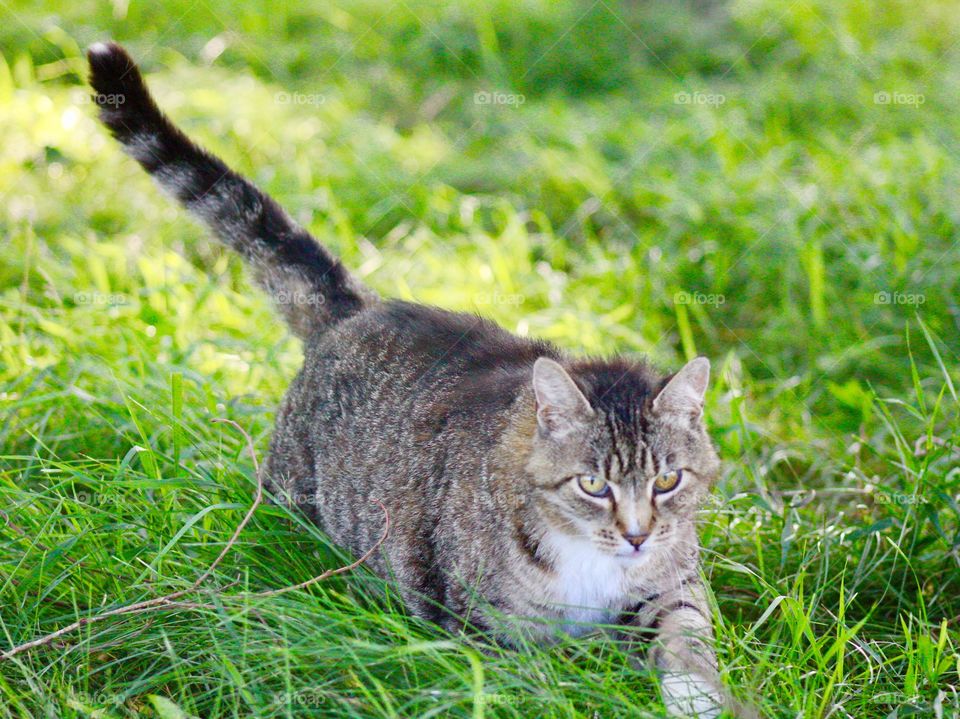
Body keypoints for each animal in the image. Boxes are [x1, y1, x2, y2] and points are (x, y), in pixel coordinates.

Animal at [88, 40, 744, 719]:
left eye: (667, 480)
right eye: (593, 484)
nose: (638, 536)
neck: (594, 562)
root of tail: (358, 307)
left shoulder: (674, 581)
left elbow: (687, 634)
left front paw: (700, 697)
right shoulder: (482, 624)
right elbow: (533, 682)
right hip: (294, 500)